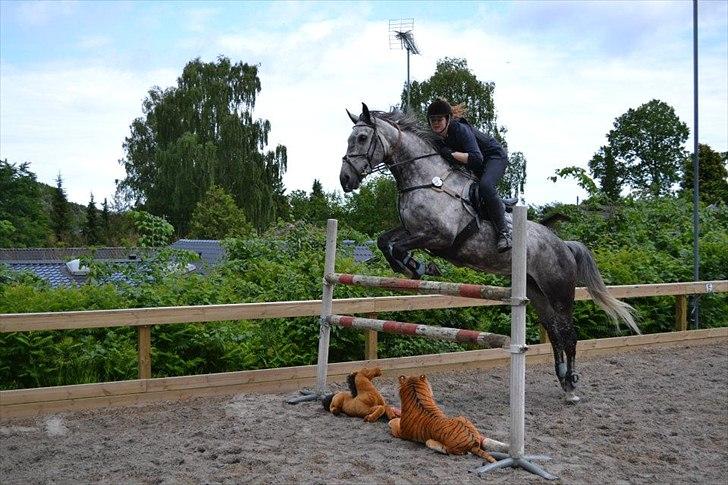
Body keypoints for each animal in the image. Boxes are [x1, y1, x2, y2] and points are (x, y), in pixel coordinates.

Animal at [336, 103, 636, 400]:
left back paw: (572, 386)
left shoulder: (439, 237)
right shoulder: (412, 230)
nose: (345, 179)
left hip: (559, 291)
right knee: (554, 331)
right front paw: (414, 266)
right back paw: (562, 378)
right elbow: (384, 241)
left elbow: (398, 246)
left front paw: (420, 267)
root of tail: (563, 244)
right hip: (536, 291)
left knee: (568, 333)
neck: (426, 179)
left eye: (361, 138)